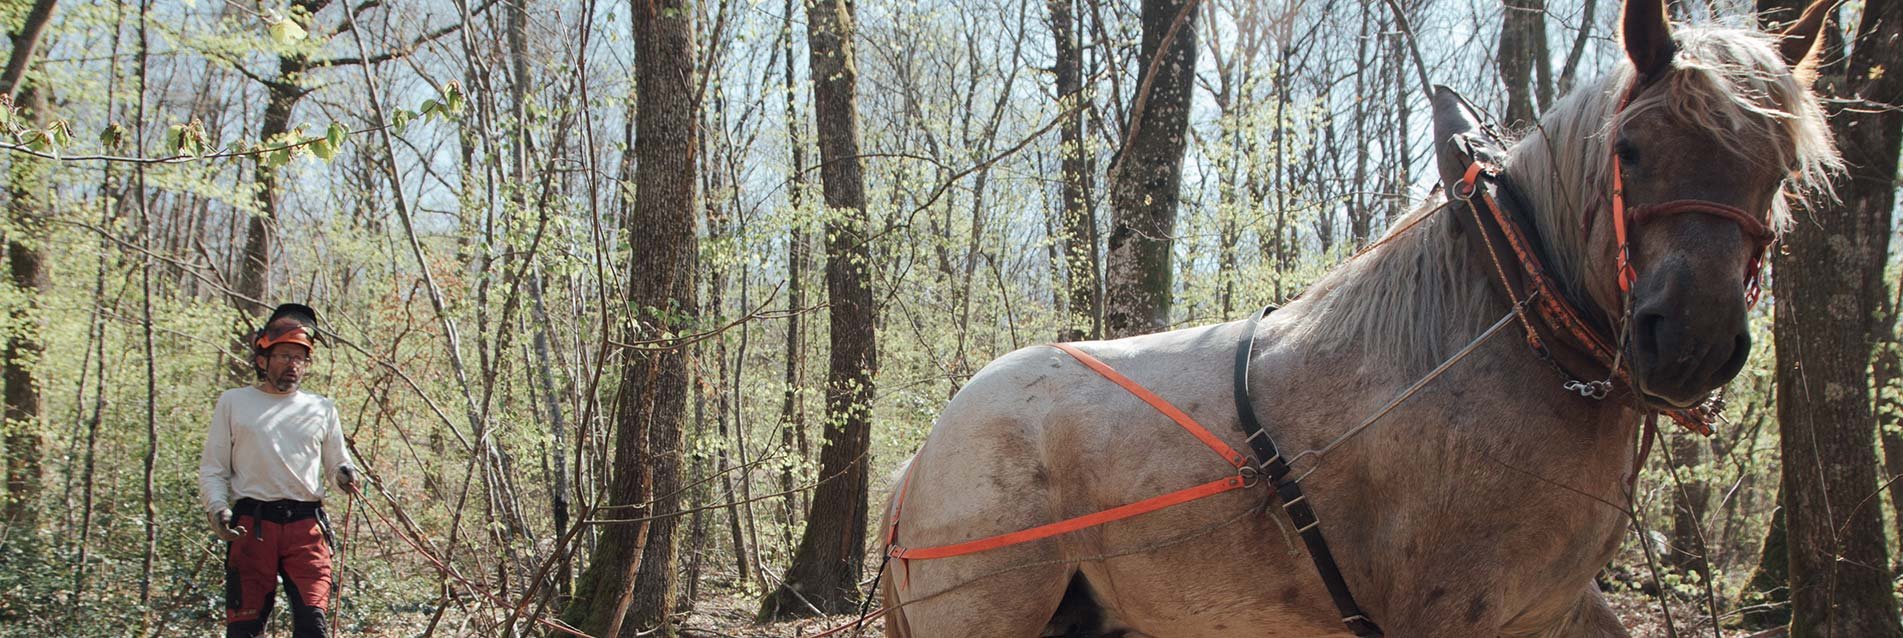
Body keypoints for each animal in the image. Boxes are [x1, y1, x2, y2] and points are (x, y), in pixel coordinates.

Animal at [879, 0, 1842, 636]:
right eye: (1631, 148)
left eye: (1777, 166)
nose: (1691, 341)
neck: (1516, 329)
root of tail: (920, 462)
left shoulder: (1553, 606)